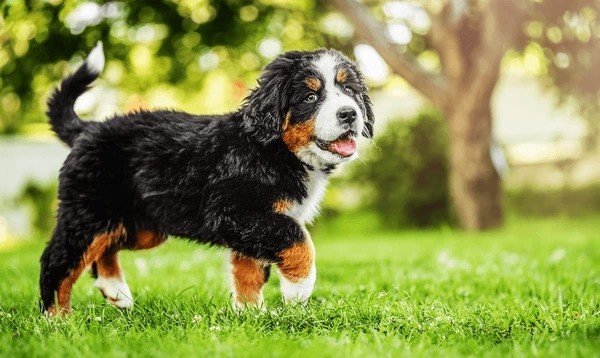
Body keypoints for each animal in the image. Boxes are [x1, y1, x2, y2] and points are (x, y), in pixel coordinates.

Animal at [39, 42, 372, 316]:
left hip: (140, 224)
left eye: (350, 91)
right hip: (89, 211)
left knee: (105, 248)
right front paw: (298, 290)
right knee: (58, 261)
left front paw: (251, 314)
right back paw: (57, 319)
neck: (275, 150)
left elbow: (248, 270)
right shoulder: (236, 211)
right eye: (311, 96)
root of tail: (89, 129)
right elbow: (298, 241)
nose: (349, 114)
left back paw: (115, 290)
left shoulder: (251, 225)